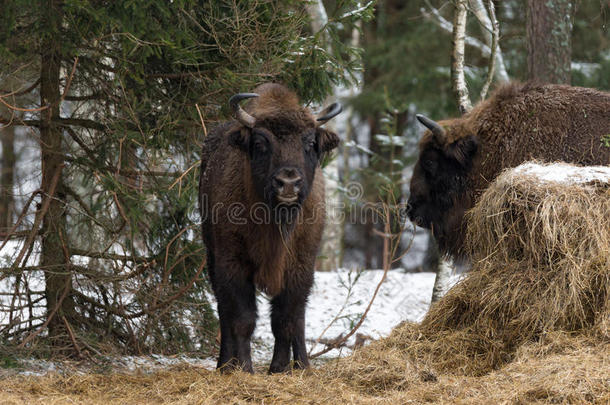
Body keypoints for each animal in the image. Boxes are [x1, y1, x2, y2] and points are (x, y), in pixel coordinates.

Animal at [200, 82, 342, 372]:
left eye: (310, 142)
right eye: (260, 142)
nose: (288, 183)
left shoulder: (300, 266)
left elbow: (287, 319)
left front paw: (281, 368)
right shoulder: (232, 263)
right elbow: (242, 318)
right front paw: (244, 367)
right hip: (211, 256)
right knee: (224, 313)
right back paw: (224, 365)